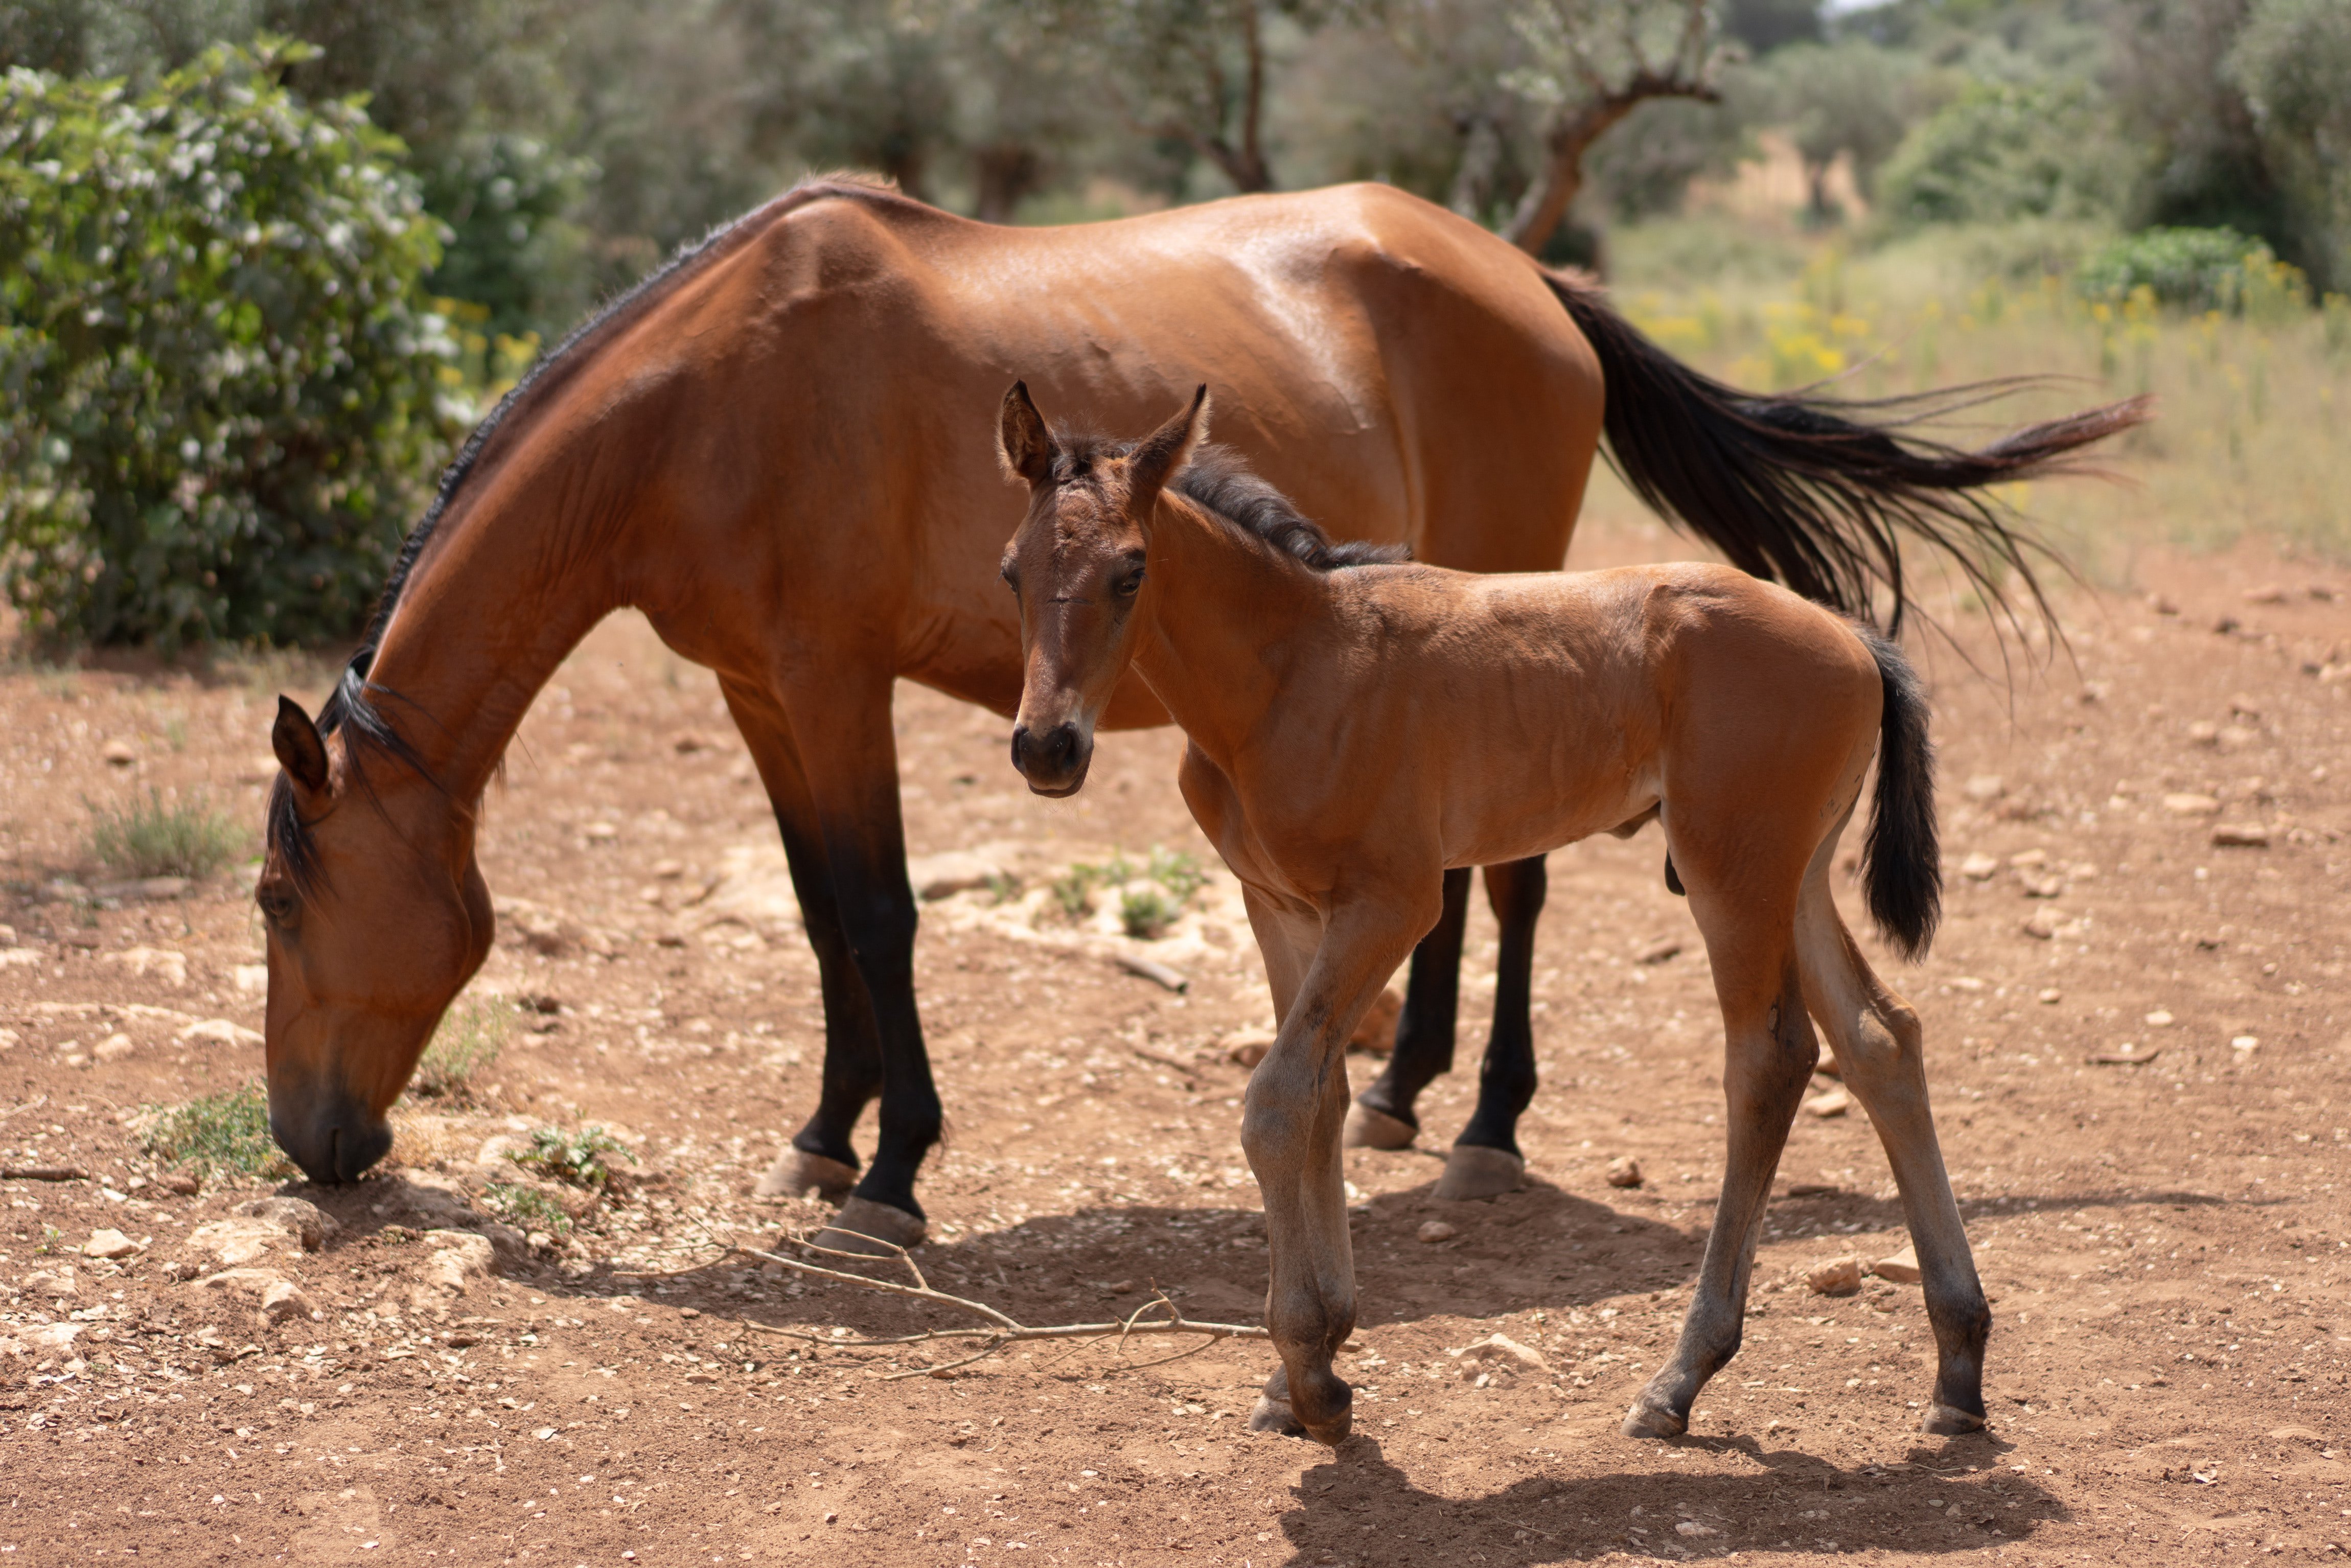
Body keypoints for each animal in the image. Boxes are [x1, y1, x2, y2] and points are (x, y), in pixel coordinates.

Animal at [255, 176, 2142, 1253]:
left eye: (278, 896)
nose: (311, 1145)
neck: (717, 392)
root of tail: (1536, 283)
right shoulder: (757, 689)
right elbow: (812, 914)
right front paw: (820, 1134)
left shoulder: (836, 678)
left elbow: (880, 911)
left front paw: (895, 1167)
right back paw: (1398, 1092)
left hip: (1518, 595)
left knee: (1517, 878)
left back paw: (1480, 1122)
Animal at [996, 381, 2000, 1449]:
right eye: (1014, 569)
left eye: (1131, 569)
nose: (1047, 747)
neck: (1289, 670)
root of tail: (1856, 639)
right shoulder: (1280, 905)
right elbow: (1321, 1095)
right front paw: (1306, 1361)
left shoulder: (1394, 901)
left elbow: (1276, 1101)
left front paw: (1312, 1372)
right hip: (1796, 874)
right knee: (1881, 1038)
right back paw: (1958, 1363)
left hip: (1732, 872)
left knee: (1770, 1060)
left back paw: (1680, 1377)